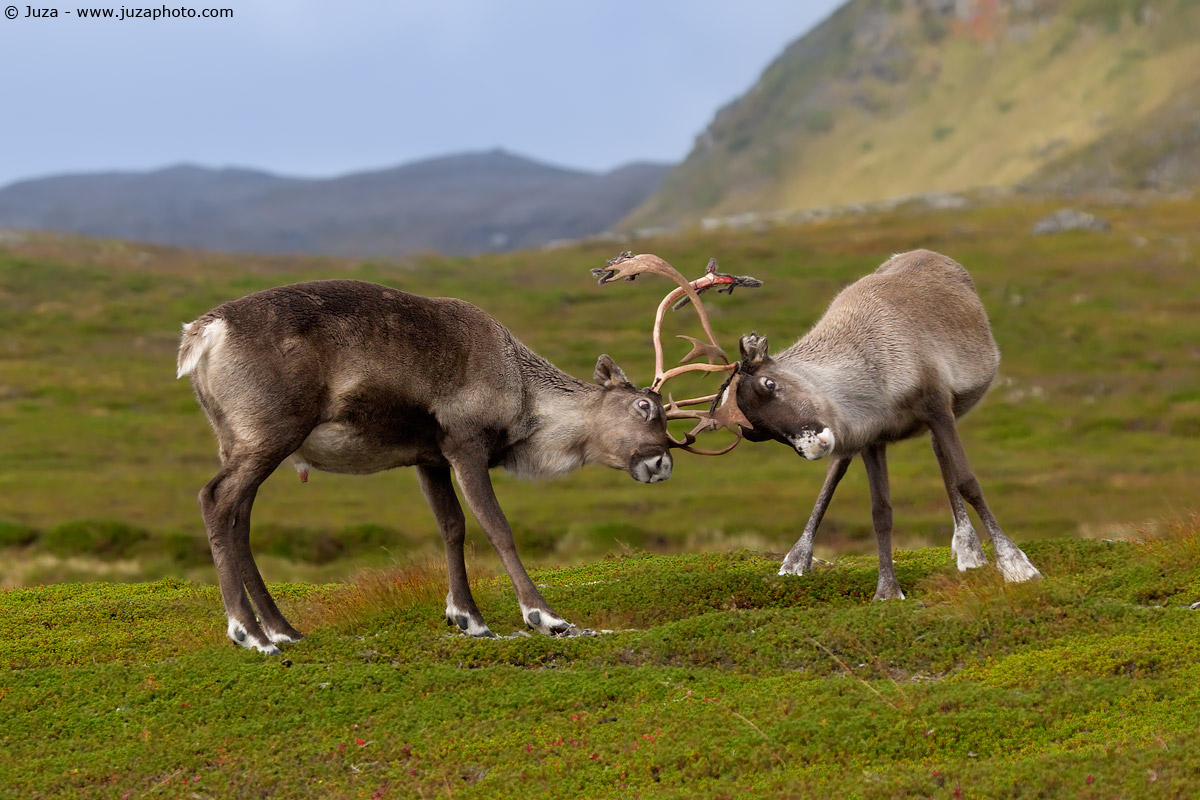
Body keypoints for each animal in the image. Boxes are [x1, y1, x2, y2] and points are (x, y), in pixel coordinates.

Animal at [177, 258, 758, 653]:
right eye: (645, 406)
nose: (662, 464)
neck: (523, 393)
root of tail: (201, 335)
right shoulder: (464, 443)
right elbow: (497, 527)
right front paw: (546, 617)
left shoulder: (428, 457)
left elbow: (452, 527)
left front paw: (469, 618)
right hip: (269, 433)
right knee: (213, 499)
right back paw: (248, 633)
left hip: (242, 440)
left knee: (239, 516)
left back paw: (283, 629)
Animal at [729, 249, 1041, 601]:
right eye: (758, 432)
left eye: (769, 384)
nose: (812, 447)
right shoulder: (869, 436)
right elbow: (880, 511)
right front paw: (888, 591)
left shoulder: (938, 407)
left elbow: (968, 481)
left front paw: (1017, 566)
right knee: (837, 474)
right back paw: (796, 559)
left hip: (942, 413)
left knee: (942, 458)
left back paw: (968, 549)